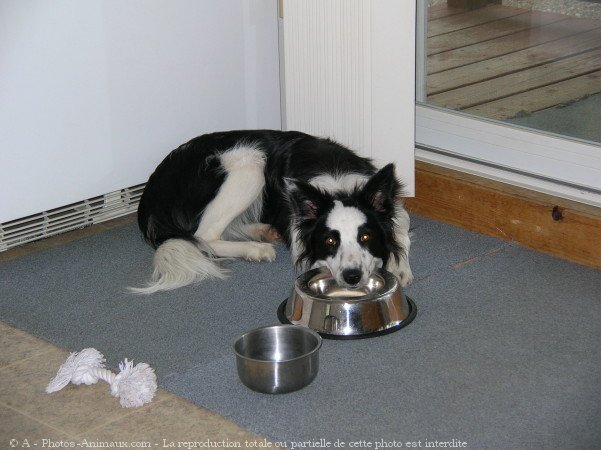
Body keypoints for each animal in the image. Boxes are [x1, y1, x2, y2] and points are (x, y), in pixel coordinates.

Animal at [133, 129, 410, 296]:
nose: (352, 277)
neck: (337, 185)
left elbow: (401, 230)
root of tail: (150, 193)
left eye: (366, 237)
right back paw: (256, 248)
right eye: (330, 241)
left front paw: (399, 267)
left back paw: (263, 231)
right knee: (205, 235)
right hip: (249, 162)